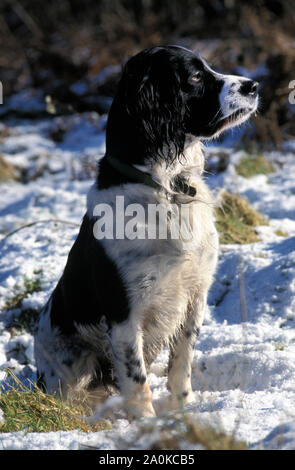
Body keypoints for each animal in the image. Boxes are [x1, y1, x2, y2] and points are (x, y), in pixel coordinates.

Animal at [34, 45, 260, 418]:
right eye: (195, 77)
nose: (254, 85)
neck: (165, 187)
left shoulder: (194, 295)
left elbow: (181, 362)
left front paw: (182, 411)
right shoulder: (125, 311)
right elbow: (136, 378)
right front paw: (147, 423)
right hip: (72, 360)